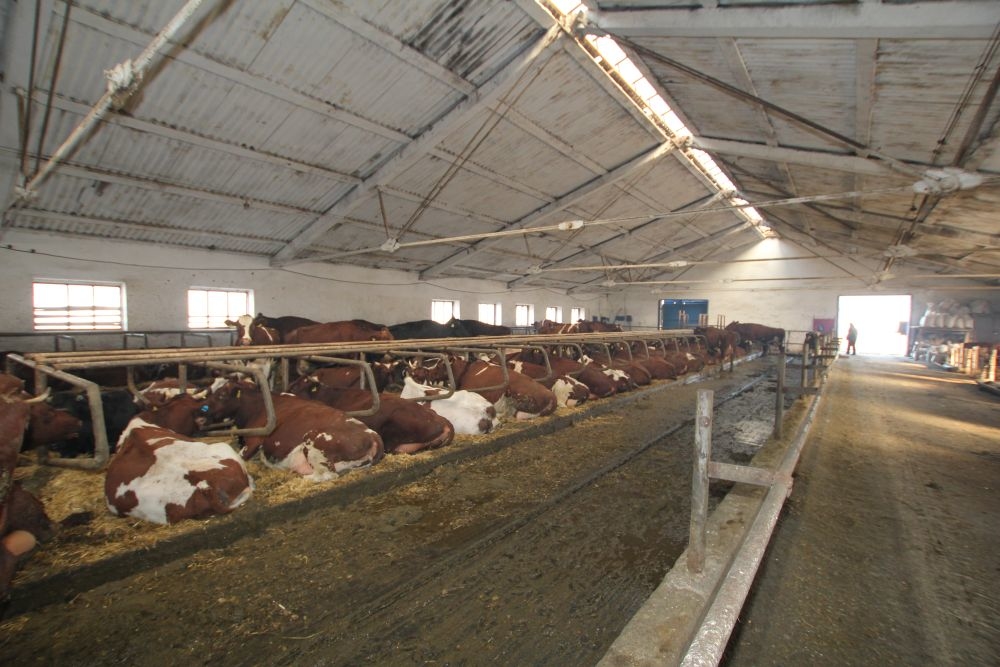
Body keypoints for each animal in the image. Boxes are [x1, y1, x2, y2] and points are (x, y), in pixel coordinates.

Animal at [202, 379, 384, 481]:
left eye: (221, 395)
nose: (203, 411)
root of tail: (372, 435)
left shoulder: (254, 440)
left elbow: (239, 457)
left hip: (314, 441)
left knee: (326, 475)